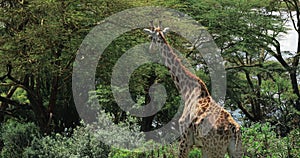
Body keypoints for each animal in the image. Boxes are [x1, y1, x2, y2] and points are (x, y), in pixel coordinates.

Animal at [144, 21, 244, 158]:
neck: (186, 90)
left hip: (213, 149)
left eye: (150, 37)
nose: (150, 50)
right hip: (235, 150)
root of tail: (234, 129)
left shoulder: (185, 138)